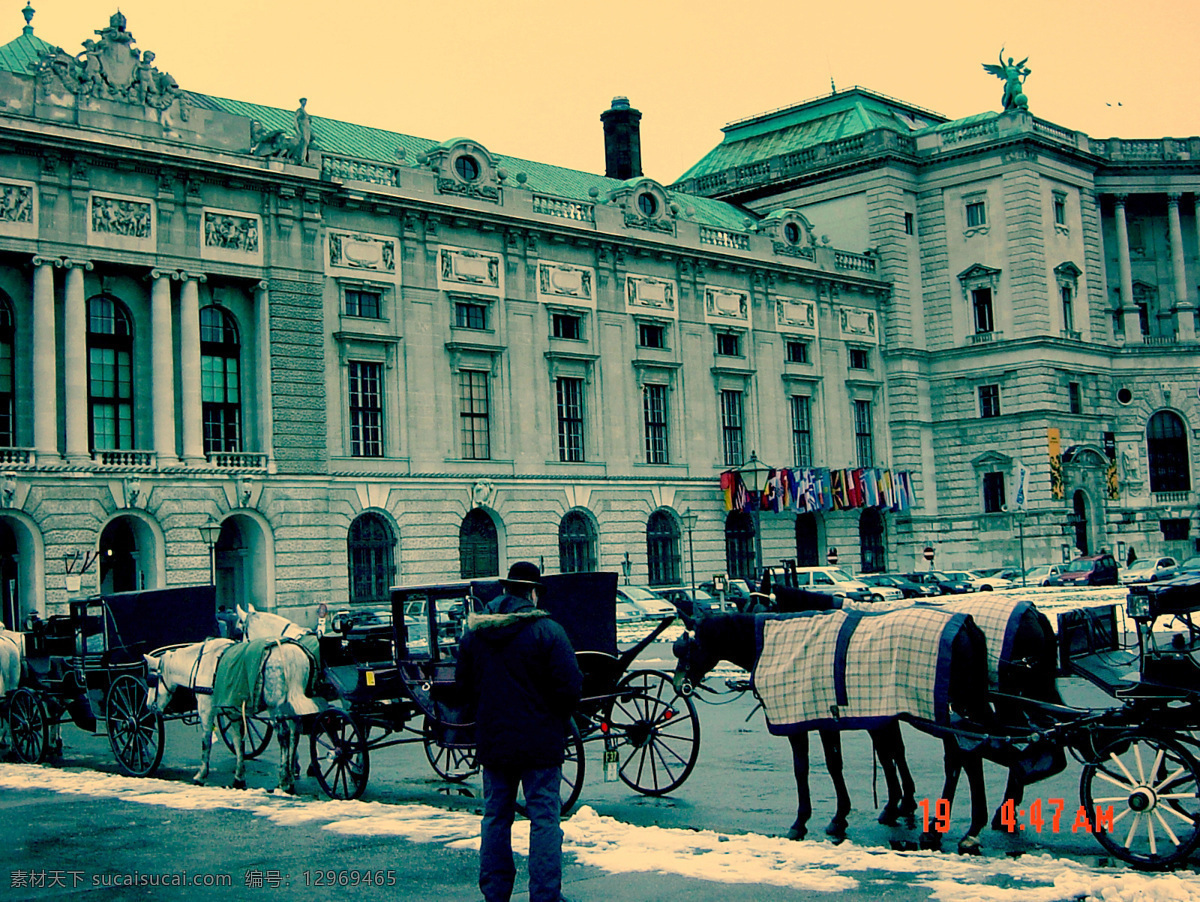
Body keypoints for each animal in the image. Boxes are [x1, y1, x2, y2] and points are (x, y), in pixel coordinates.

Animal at [144, 633, 319, 786]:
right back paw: (291, 773)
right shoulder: (233, 712)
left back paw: (284, 779)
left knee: (284, 735)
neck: (202, 663)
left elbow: (206, 741)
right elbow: (238, 741)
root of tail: (294, 655)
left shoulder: (206, 708)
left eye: (151, 680)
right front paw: (239, 777)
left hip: (275, 708)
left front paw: (201, 774)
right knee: (295, 734)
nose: (148, 706)